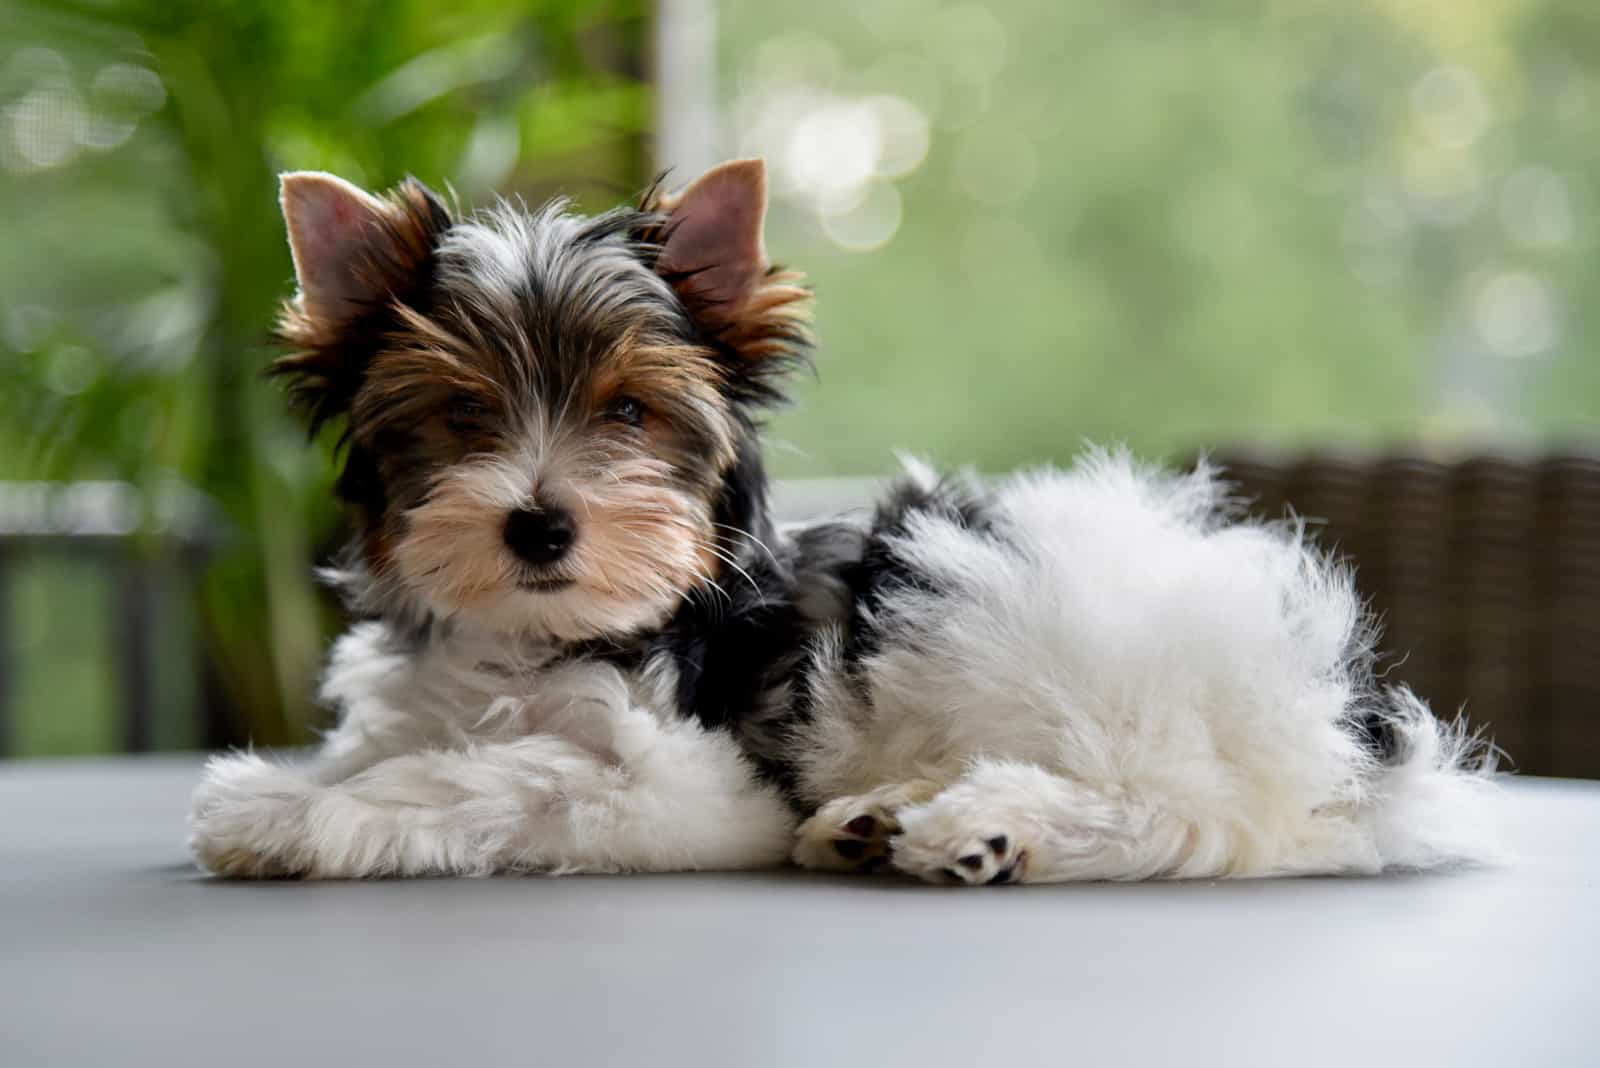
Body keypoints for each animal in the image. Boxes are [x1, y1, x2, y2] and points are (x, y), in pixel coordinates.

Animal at [190, 160, 1497, 882]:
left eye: (628, 411)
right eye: (463, 414)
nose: (540, 526)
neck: (543, 631)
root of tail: (1346, 699)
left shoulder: (683, 780)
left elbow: (481, 778)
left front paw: (281, 811)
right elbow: (413, 748)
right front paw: (316, 784)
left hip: (1045, 641)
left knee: (1194, 809)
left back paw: (993, 826)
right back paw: (872, 821)